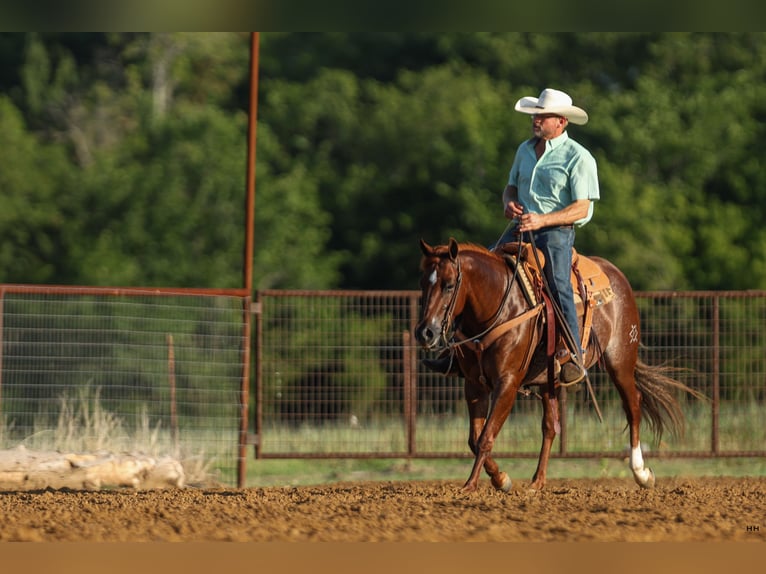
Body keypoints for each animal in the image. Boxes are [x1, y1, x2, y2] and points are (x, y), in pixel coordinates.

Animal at [416, 238, 704, 496]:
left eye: (449, 285)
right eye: (422, 285)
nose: (425, 333)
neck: (499, 305)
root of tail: (616, 275)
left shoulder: (507, 383)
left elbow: (486, 436)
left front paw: (471, 486)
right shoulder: (474, 385)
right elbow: (474, 438)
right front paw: (500, 478)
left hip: (620, 361)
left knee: (633, 406)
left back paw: (641, 473)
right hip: (549, 382)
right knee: (550, 428)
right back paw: (537, 482)